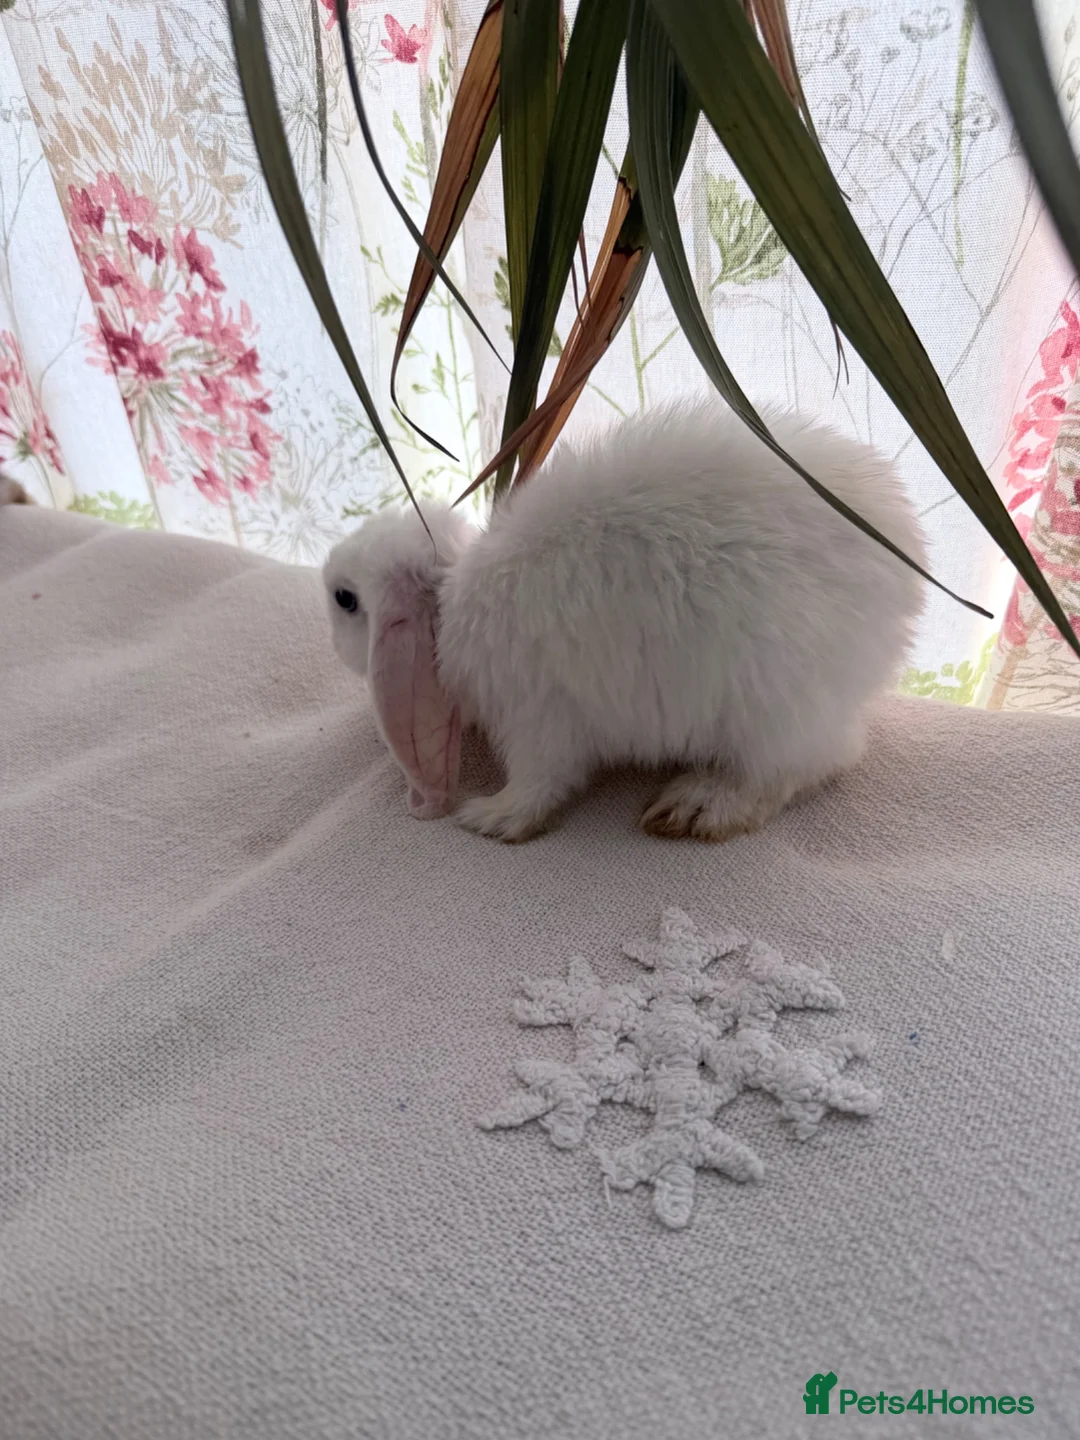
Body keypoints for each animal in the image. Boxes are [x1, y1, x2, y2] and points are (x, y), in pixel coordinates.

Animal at [324, 400, 927, 843]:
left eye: (344, 599)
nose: (327, 587)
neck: (448, 607)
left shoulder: (537, 717)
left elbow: (540, 783)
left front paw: (491, 817)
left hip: (774, 704)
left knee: (806, 764)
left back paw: (696, 806)